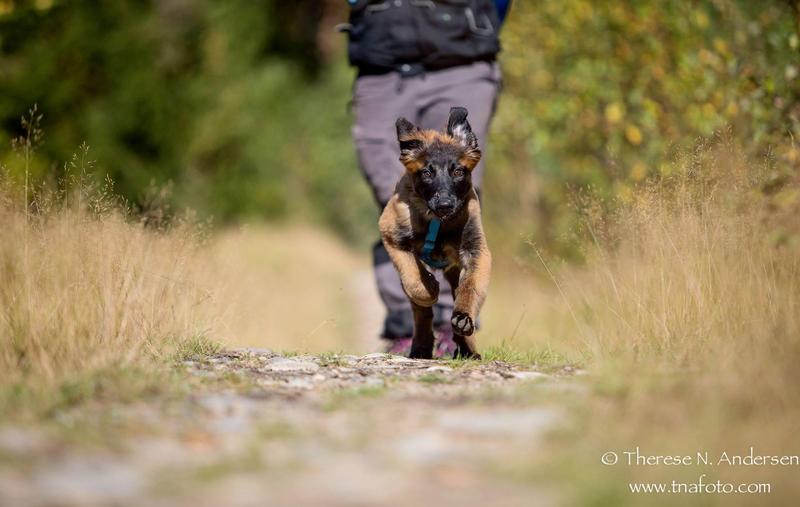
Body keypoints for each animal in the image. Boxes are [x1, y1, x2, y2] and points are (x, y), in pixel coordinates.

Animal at [378, 107, 490, 362]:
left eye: (458, 171)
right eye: (427, 174)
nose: (445, 205)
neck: (438, 223)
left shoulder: (477, 251)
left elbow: (470, 287)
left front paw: (463, 318)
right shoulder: (392, 238)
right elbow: (414, 279)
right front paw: (429, 288)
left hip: (455, 270)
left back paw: (467, 349)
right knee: (421, 313)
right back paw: (421, 346)